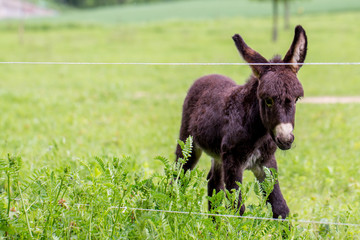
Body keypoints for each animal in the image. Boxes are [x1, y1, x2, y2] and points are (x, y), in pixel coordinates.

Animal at [174, 25, 306, 218]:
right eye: (268, 100)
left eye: (297, 99)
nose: (286, 139)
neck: (256, 131)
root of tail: (208, 76)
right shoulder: (233, 162)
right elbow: (237, 209)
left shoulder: (266, 163)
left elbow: (280, 208)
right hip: (188, 143)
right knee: (178, 176)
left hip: (218, 155)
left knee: (213, 183)